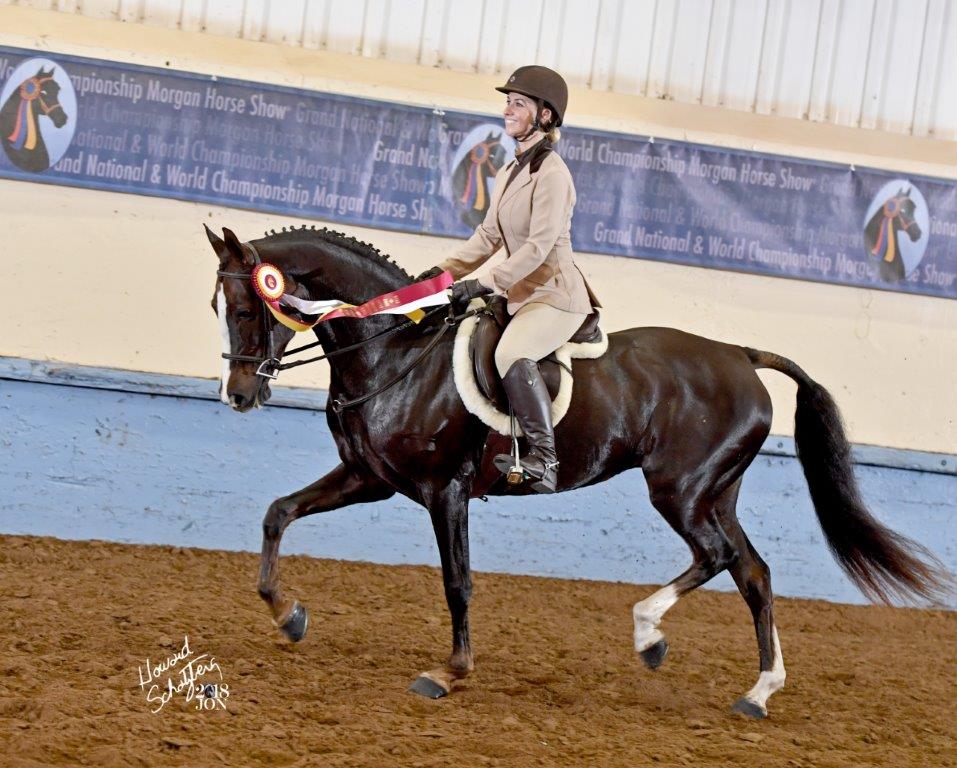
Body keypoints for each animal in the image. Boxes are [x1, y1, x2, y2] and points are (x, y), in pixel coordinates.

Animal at [206, 224, 948, 718]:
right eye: (222, 309)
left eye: (247, 309)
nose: (238, 396)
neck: (393, 352)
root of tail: (740, 354)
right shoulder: (372, 478)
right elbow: (278, 512)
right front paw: (287, 614)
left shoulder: (445, 492)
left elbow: (457, 583)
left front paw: (450, 671)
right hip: (715, 492)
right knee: (752, 572)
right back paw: (757, 692)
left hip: (679, 491)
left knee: (715, 558)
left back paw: (650, 634)